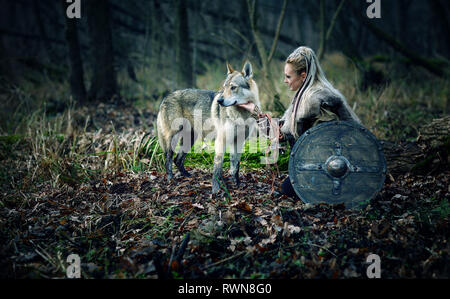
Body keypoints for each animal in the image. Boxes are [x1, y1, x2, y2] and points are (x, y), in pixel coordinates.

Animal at [156, 61, 260, 195]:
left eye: (233, 87)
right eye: (224, 87)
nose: (220, 101)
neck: (241, 115)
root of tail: (165, 97)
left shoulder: (239, 142)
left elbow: (235, 166)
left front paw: (237, 184)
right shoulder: (221, 141)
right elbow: (217, 167)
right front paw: (216, 189)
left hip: (190, 139)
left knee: (177, 159)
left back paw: (188, 176)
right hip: (174, 138)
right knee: (168, 159)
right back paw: (171, 179)